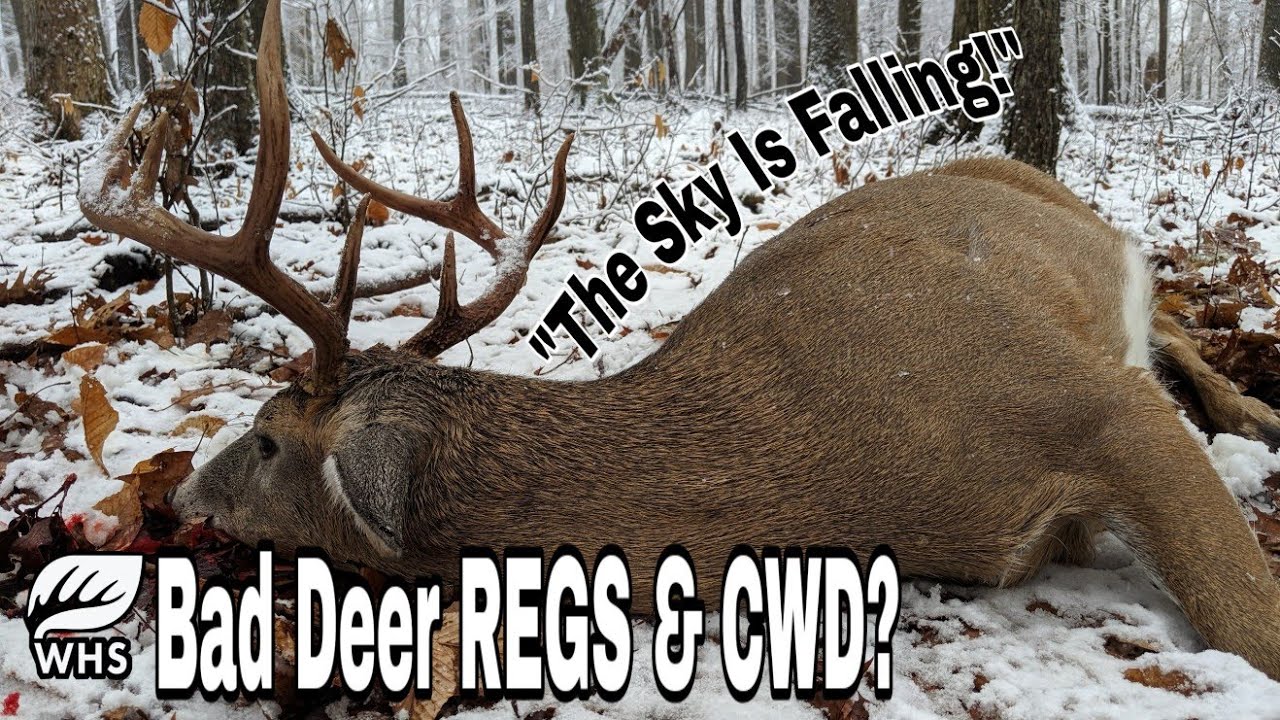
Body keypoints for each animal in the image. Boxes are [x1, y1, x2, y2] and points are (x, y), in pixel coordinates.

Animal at [79, 0, 1280, 684]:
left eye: (270, 437)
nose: (182, 491)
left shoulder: (1087, 400)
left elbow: (1246, 623)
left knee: (1168, 303)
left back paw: (1250, 408)